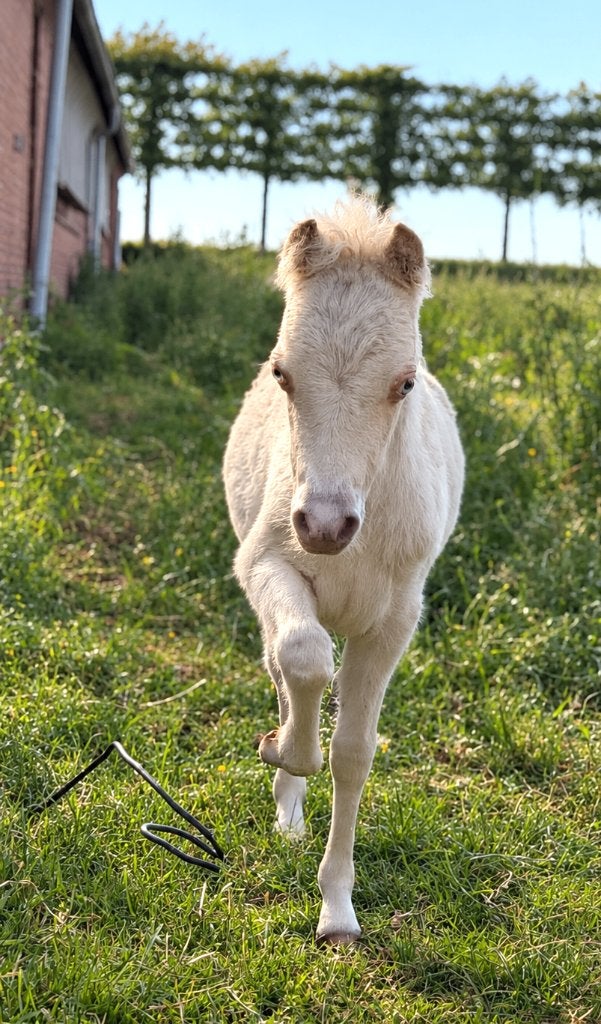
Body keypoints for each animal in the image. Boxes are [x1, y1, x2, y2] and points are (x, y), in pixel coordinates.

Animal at [223, 196, 464, 944]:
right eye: (282, 374)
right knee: (281, 661)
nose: (325, 527)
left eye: (404, 383)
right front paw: (282, 753)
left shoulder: (393, 619)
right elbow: (301, 658)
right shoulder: (264, 562)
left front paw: (336, 908)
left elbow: (354, 752)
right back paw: (286, 800)